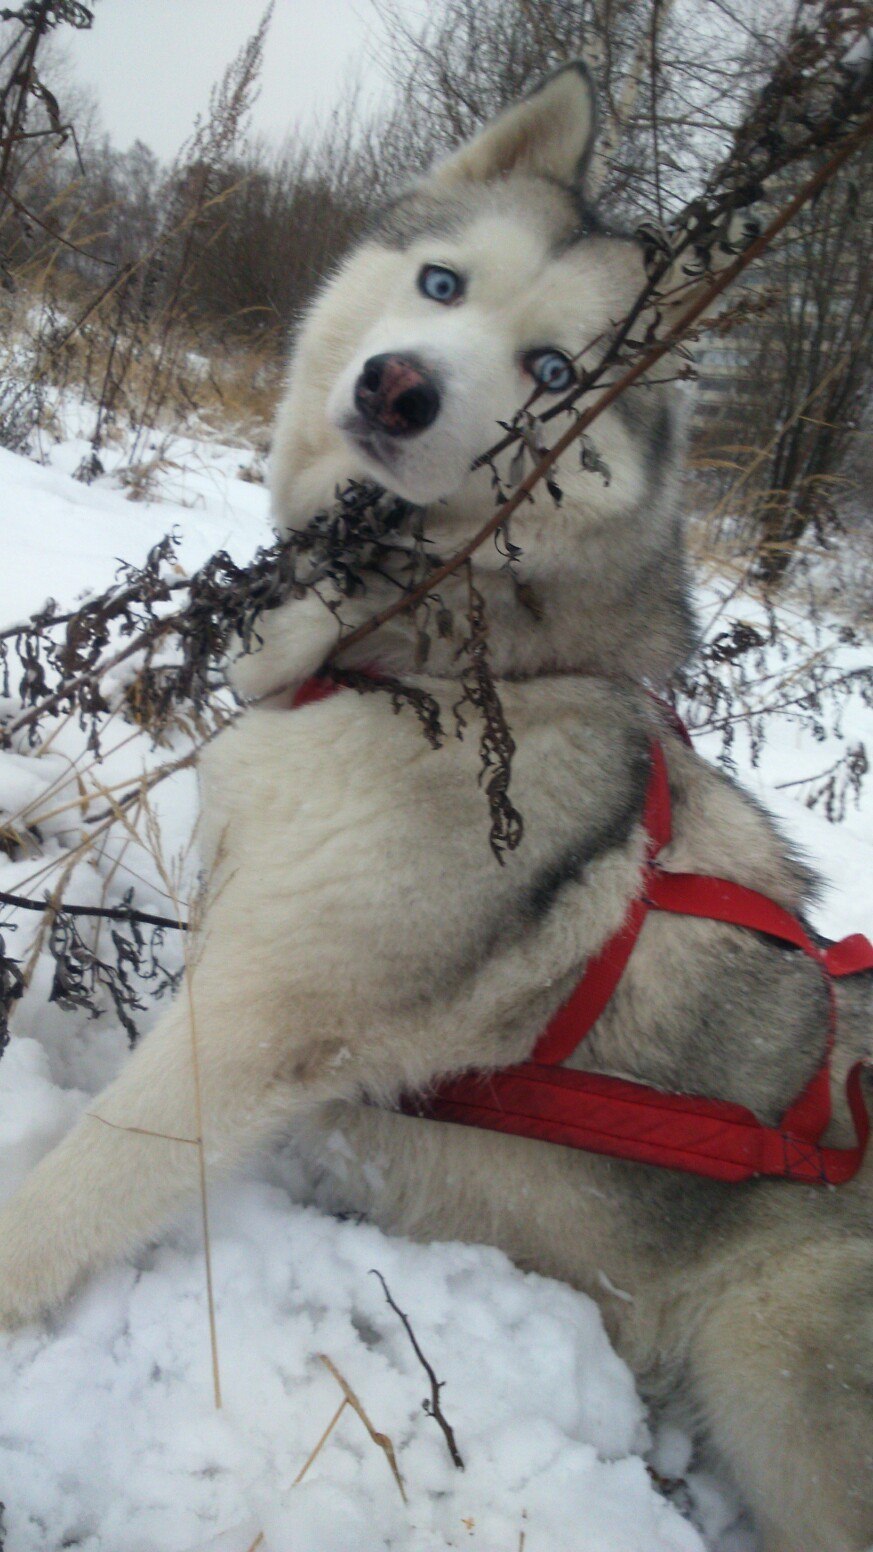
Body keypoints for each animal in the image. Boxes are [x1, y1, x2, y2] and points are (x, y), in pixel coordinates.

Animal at [1, 63, 869, 1552]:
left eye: (556, 374)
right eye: (442, 283)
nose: (398, 385)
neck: (414, 658)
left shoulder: (256, 1018)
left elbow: (84, 1180)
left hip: (783, 1359)